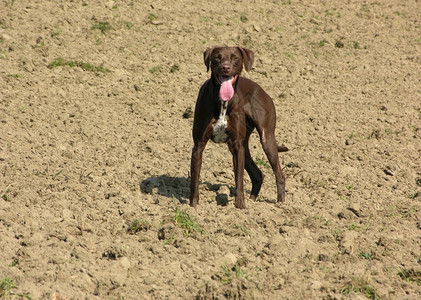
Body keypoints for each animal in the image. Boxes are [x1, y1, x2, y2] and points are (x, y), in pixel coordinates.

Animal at [189, 46, 286, 209]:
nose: (225, 67)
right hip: (244, 146)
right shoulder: (199, 145)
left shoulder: (237, 146)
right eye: (217, 57)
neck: (222, 102)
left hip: (266, 139)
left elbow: (239, 180)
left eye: (235, 58)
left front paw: (240, 207)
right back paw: (253, 200)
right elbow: (195, 180)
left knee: (279, 174)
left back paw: (280, 204)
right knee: (257, 174)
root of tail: (261, 90)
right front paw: (193, 206)